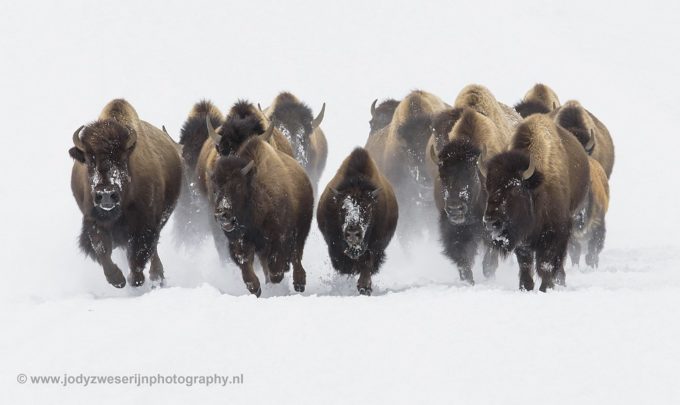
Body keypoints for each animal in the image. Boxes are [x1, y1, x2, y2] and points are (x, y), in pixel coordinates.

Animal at [68, 98, 183, 288]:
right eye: (90, 160)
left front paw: (135, 279)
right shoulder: (93, 220)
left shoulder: (144, 222)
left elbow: (139, 252)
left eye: (121, 158)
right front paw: (117, 280)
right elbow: (101, 249)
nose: (106, 194)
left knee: (152, 248)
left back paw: (156, 275)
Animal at [209, 128, 314, 296]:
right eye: (215, 189)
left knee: (296, 254)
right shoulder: (241, 242)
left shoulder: (279, 238)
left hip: (301, 229)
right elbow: (246, 264)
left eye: (238, 186)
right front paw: (256, 288)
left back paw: (299, 283)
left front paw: (277, 278)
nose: (221, 214)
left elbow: (276, 267)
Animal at [318, 147, 398, 296]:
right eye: (342, 209)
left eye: (367, 209)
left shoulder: (376, 246)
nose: (353, 232)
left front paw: (364, 288)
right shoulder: (335, 246)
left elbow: (367, 264)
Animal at [430, 107, 510, 284]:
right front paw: (468, 280)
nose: (455, 208)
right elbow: (462, 255)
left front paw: (488, 274)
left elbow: (490, 256)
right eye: (442, 175)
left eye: (471, 173)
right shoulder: (453, 228)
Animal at [484, 113, 588, 290]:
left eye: (514, 189)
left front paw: (546, 288)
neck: (536, 188)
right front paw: (525, 287)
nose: (491, 222)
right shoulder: (522, 238)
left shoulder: (554, 233)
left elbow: (545, 264)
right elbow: (525, 263)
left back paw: (560, 281)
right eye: (488, 188)